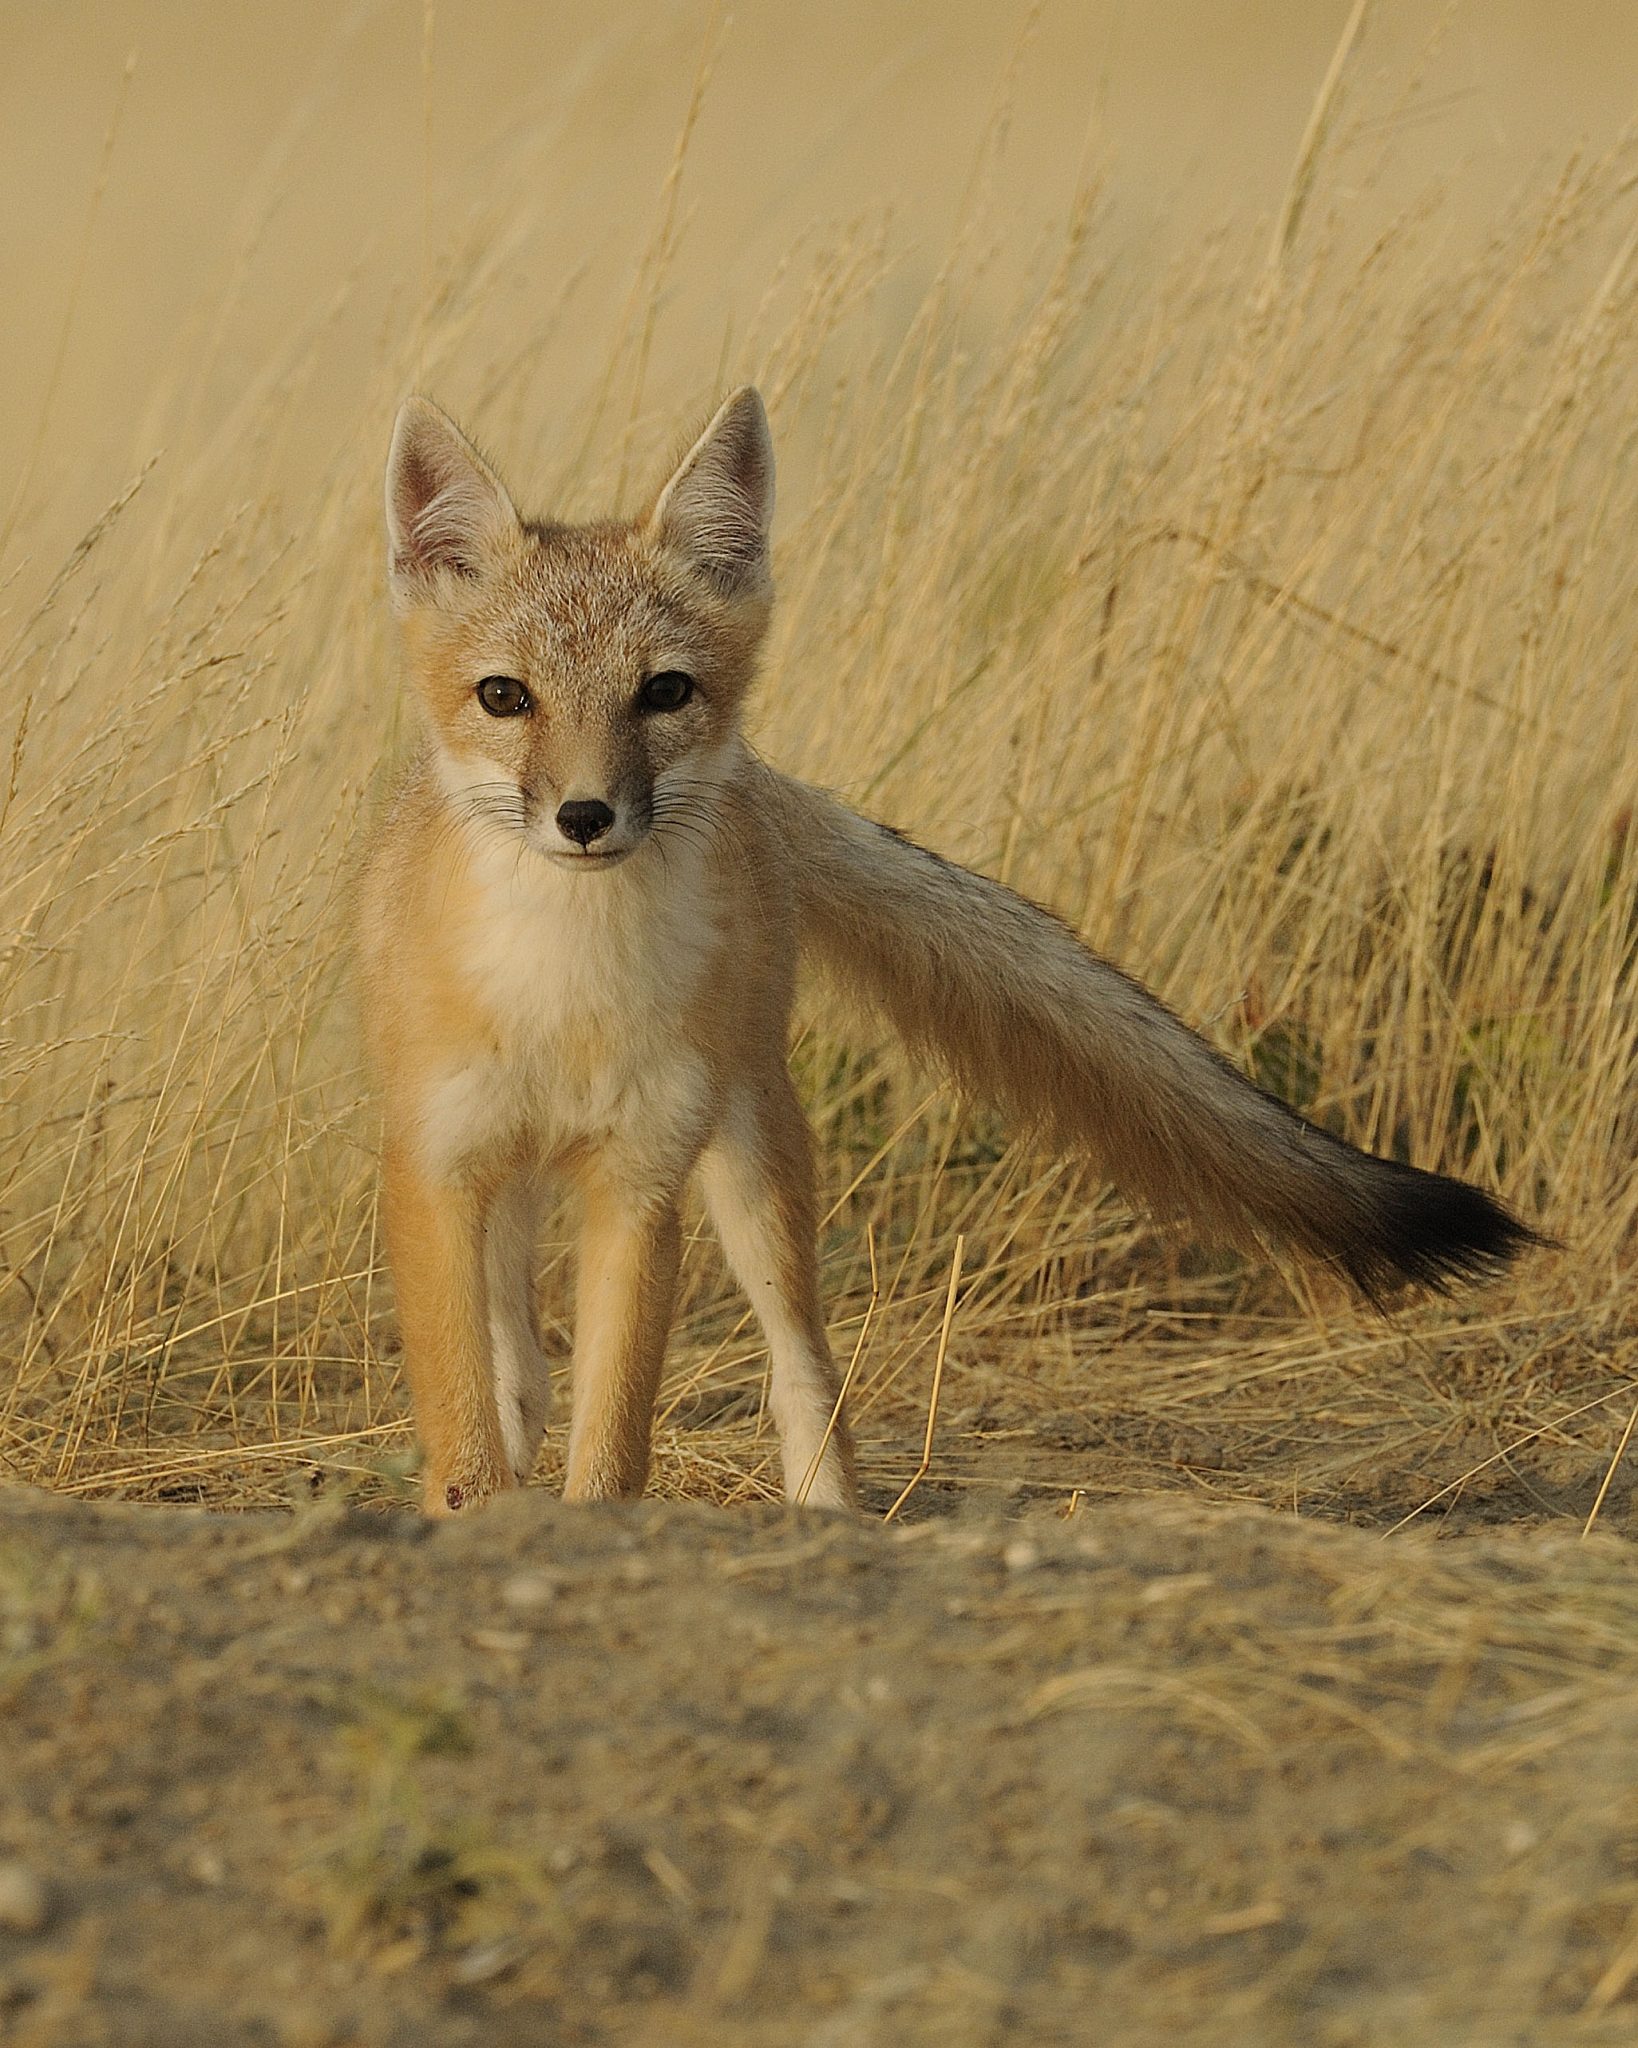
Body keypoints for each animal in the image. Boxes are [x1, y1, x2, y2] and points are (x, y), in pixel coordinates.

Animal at [358, 391, 1539, 1523]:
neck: (566, 991)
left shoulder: (641, 1187)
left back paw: (825, 1510)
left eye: (664, 693)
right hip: (518, 1174)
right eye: (504, 697)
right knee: (518, 1356)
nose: (586, 816)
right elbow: (462, 1425)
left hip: (753, 1158)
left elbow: (613, 1442)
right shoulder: (431, 1170)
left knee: (801, 1368)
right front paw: (476, 1509)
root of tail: (760, 784)